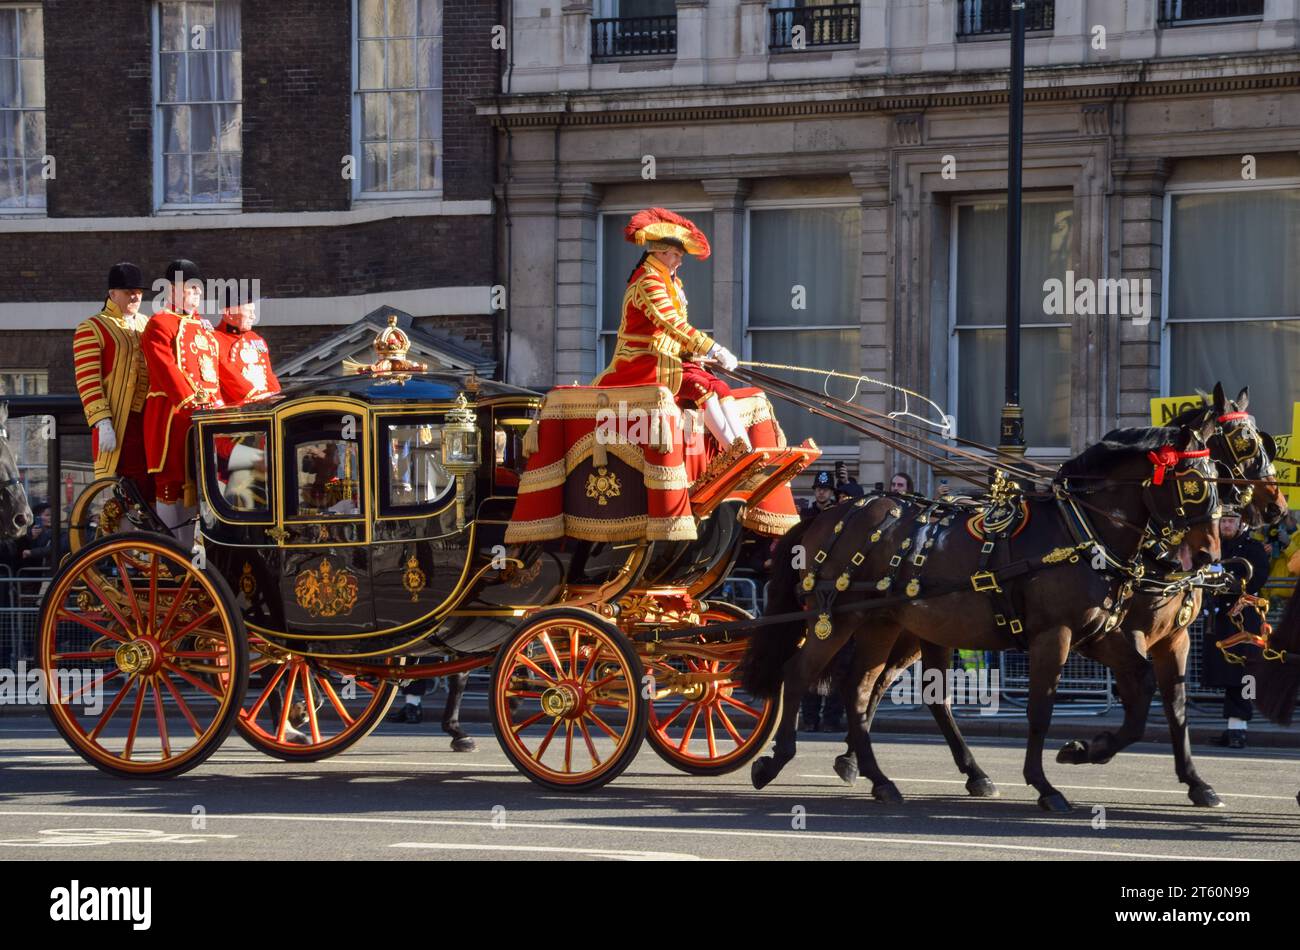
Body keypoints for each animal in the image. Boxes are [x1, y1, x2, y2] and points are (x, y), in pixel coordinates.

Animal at [743, 413, 1216, 816]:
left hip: (888, 626)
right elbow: (1041, 709)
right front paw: (1045, 785)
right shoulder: (1056, 634)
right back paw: (775, 761)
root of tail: (828, 514)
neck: (1079, 531)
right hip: (836, 620)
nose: (1208, 554)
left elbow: (1153, 693)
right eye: (1193, 483)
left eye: (1218, 478)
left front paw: (1086, 751)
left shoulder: (1103, 634)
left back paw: (884, 778)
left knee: (860, 691)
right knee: (800, 674)